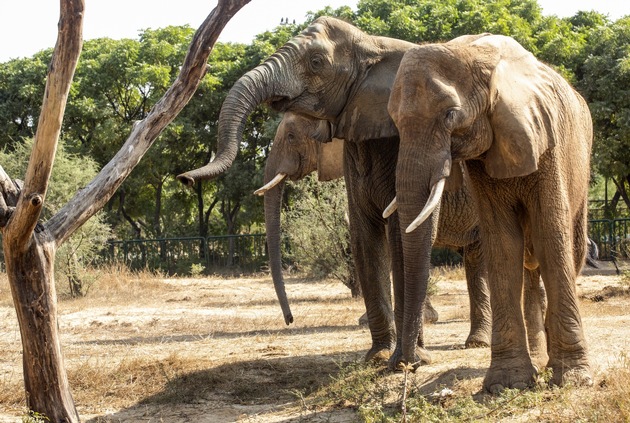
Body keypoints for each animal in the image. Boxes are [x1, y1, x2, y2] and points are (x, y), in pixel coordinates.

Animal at [178, 16, 494, 362]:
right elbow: (362, 236)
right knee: (476, 257)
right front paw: (377, 356)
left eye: (316, 62)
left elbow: (399, 233)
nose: (184, 179)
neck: (373, 46)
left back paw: (478, 343)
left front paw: (409, 357)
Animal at [388, 32, 596, 390]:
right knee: (528, 262)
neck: (474, 51)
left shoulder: (547, 140)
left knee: (570, 250)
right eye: (395, 122)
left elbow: (550, 236)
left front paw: (572, 379)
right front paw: (507, 384)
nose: (409, 365)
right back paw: (539, 356)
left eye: (450, 115)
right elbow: (502, 244)